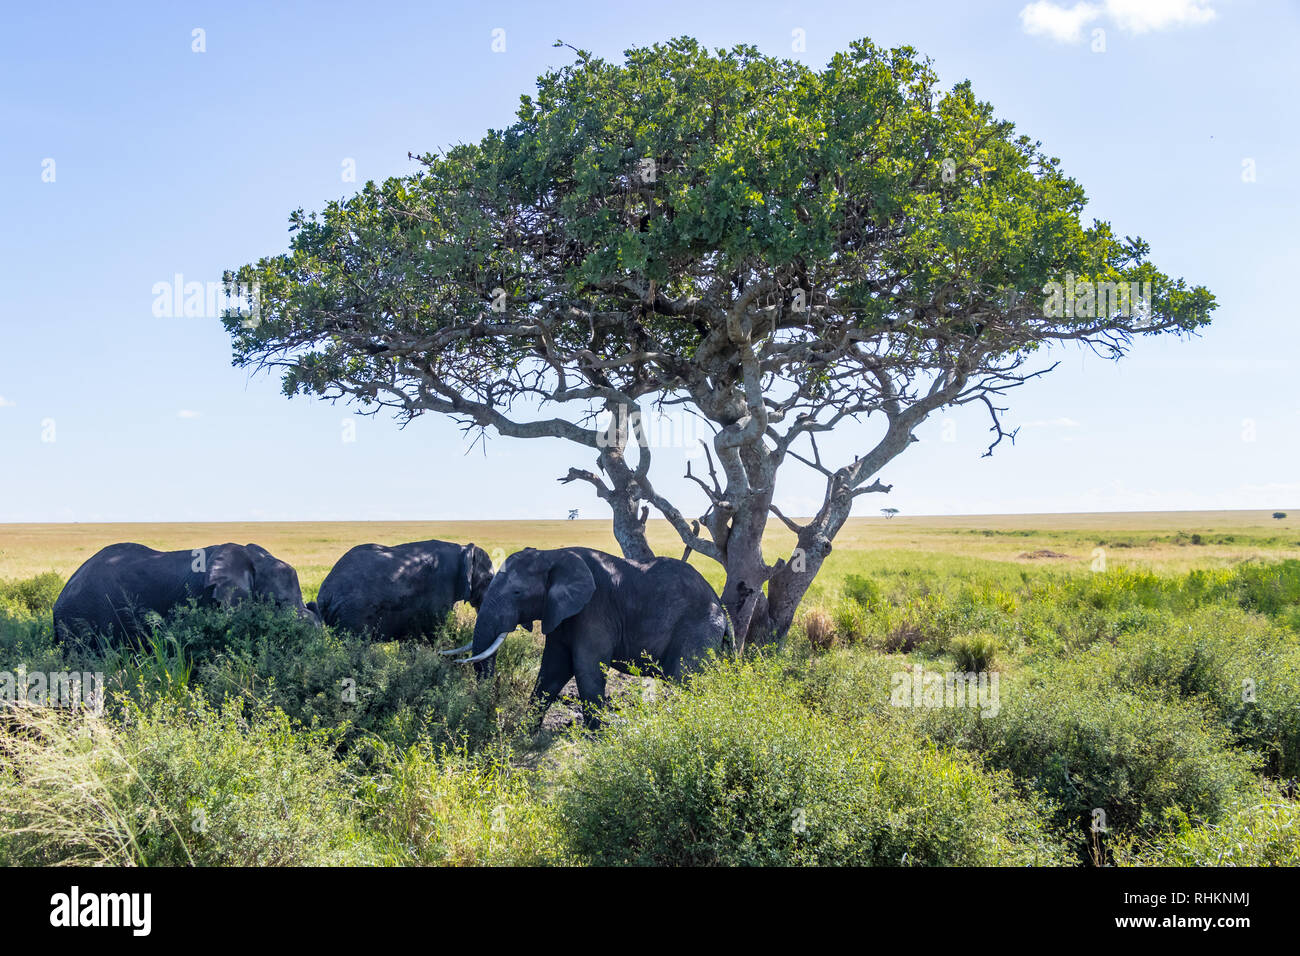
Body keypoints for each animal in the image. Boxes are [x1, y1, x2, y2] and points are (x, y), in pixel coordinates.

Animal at [317, 538, 493, 642]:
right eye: (488, 579)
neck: (462, 549)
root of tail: (324, 594)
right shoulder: (440, 588)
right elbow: (433, 633)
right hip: (353, 613)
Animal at [447, 548, 733, 728]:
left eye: (517, 593)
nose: (489, 711)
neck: (552, 554)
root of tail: (722, 609)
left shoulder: (594, 608)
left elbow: (587, 667)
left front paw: (598, 736)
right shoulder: (559, 613)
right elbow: (553, 670)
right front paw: (526, 731)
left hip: (699, 628)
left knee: (685, 679)